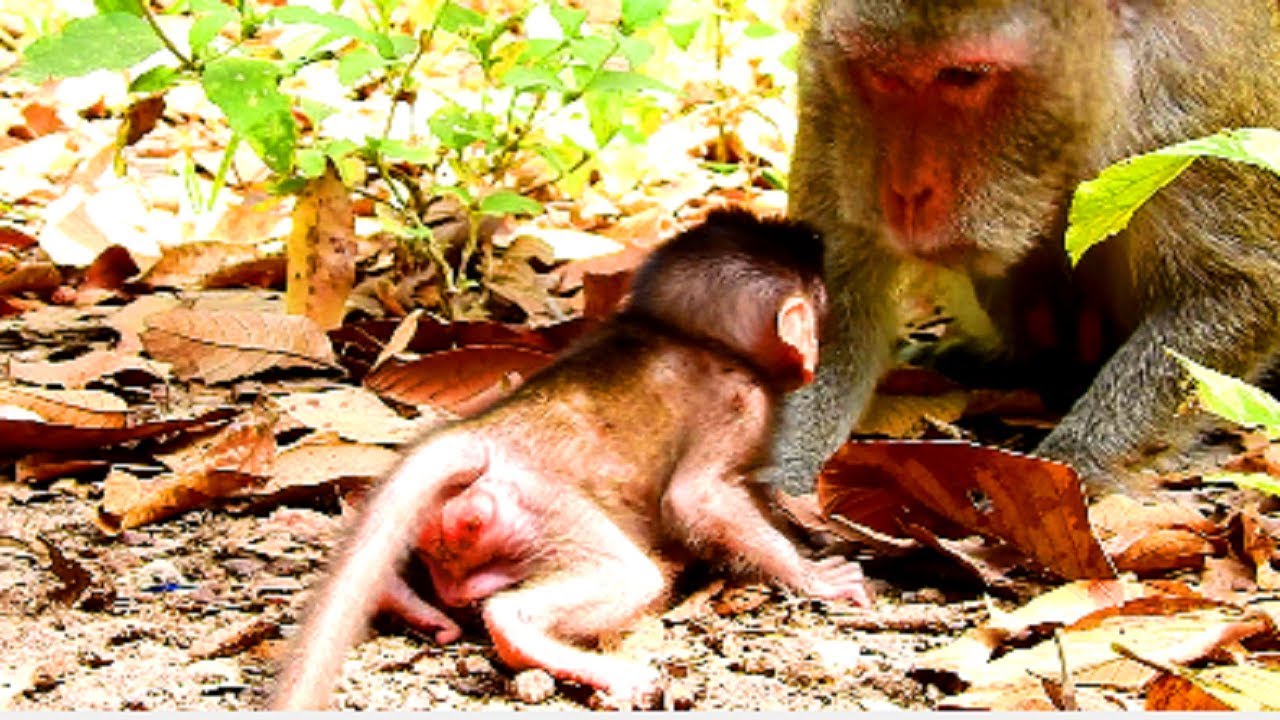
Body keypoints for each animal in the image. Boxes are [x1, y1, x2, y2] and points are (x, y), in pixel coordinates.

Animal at [271, 209, 871, 710]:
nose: (815, 354)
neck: (678, 332)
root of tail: (476, 437)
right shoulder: (741, 401)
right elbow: (697, 498)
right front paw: (812, 575)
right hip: (535, 503)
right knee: (627, 577)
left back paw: (401, 596)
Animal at [770, 0, 1280, 497]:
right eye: (883, 75)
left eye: (964, 77)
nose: (908, 192)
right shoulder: (828, 87)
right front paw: (784, 470)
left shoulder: (1195, 102)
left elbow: (1239, 290)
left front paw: (1066, 470)